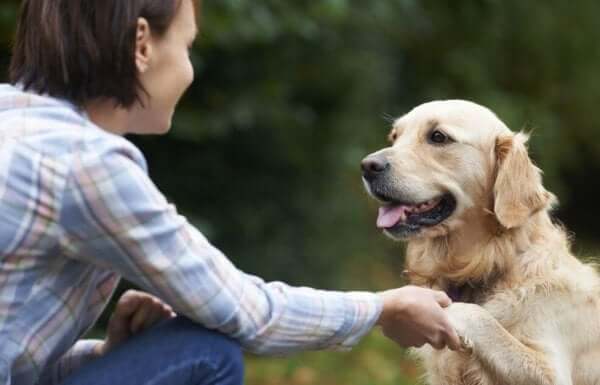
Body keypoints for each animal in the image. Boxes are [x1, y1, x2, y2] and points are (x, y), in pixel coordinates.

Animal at [360, 100, 600, 384]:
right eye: (395, 137)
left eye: (438, 137)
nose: (367, 166)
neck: (490, 264)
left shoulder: (553, 370)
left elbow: (477, 315)